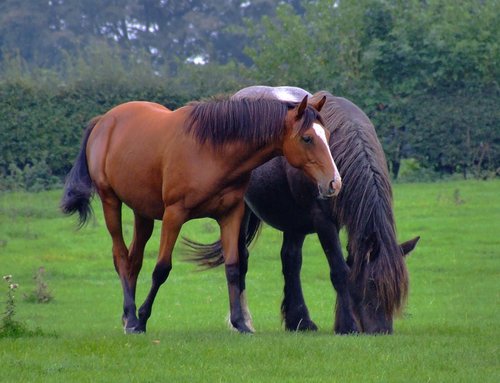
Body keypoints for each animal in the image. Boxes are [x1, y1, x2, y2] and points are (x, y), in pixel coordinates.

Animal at [60, 95, 338, 332]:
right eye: (307, 138)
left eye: (327, 134)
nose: (334, 183)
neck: (212, 151)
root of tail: (104, 120)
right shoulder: (174, 215)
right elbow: (161, 269)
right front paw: (143, 319)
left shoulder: (231, 215)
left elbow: (233, 267)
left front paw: (240, 323)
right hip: (111, 201)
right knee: (120, 256)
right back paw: (131, 317)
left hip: (142, 212)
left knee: (133, 261)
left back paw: (127, 317)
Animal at [186, 88, 420, 334]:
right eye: (372, 285)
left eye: (397, 292)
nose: (382, 331)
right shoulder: (324, 222)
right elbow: (339, 271)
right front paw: (348, 325)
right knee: (241, 258)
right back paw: (244, 322)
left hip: (294, 221)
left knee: (290, 260)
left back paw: (299, 320)